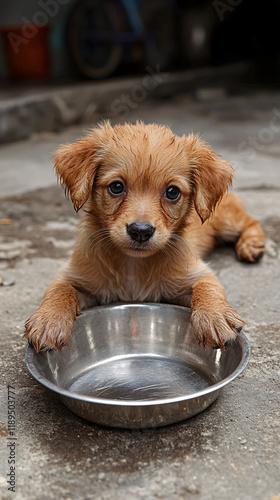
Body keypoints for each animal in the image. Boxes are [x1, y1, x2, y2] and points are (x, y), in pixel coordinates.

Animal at [23, 121, 264, 352]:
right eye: (116, 187)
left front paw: (214, 317)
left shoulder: (197, 274)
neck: (133, 265)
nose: (140, 231)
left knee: (250, 221)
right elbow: (60, 291)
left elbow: (207, 288)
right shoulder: (72, 276)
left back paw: (252, 245)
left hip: (227, 222)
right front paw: (49, 321)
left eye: (172, 192)